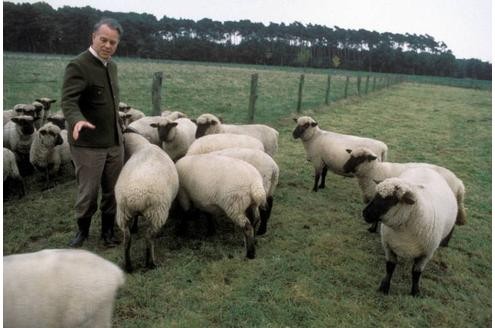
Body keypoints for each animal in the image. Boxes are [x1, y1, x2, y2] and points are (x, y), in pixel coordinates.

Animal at [115, 128, 179, 272]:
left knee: (127, 239)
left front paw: (135, 227)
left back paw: (128, 265)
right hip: (157, 213)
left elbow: (136, 219)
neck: (142, 146)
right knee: (149, 238)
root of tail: (136, 197)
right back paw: (150, 262)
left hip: (123, 213)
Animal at [362, 168, 460, 296]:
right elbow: (390, 267)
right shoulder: (388, 247)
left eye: (392, 200)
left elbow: (416, 273)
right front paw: (384, 288)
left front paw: (415, 292)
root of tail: (427, 168)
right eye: (376, 195)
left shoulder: (426, 254)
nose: (365, 214)